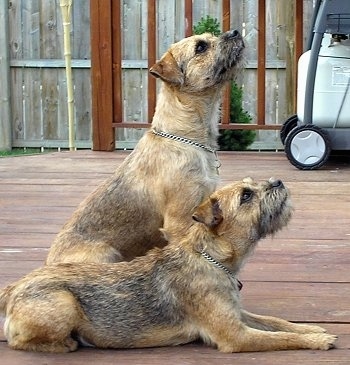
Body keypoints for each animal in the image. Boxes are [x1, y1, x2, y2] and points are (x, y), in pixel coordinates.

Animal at [1, 178, 338, 352]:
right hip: (63, 304)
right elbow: (280, 338)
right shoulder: (235, 335)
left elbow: (276, 322)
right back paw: (64, 345)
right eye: (246, 195)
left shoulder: (237, 314)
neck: (210, 257)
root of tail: (14, 287)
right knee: (18, 341)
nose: (278, 181)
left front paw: (311, 328)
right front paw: (317, 340)